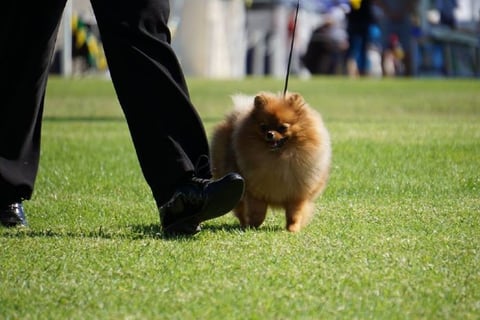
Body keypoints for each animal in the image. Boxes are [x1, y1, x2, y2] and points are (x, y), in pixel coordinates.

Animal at [212, 91, 332, 231]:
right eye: (263, 127)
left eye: (283, 127)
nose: (270, 134)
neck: (279, 157)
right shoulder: (256, 192)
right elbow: (258, 213)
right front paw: (253, 227)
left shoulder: (297, 194)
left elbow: (294, 215)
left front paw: (292, 229)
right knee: (240, 209)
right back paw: (243, 224)